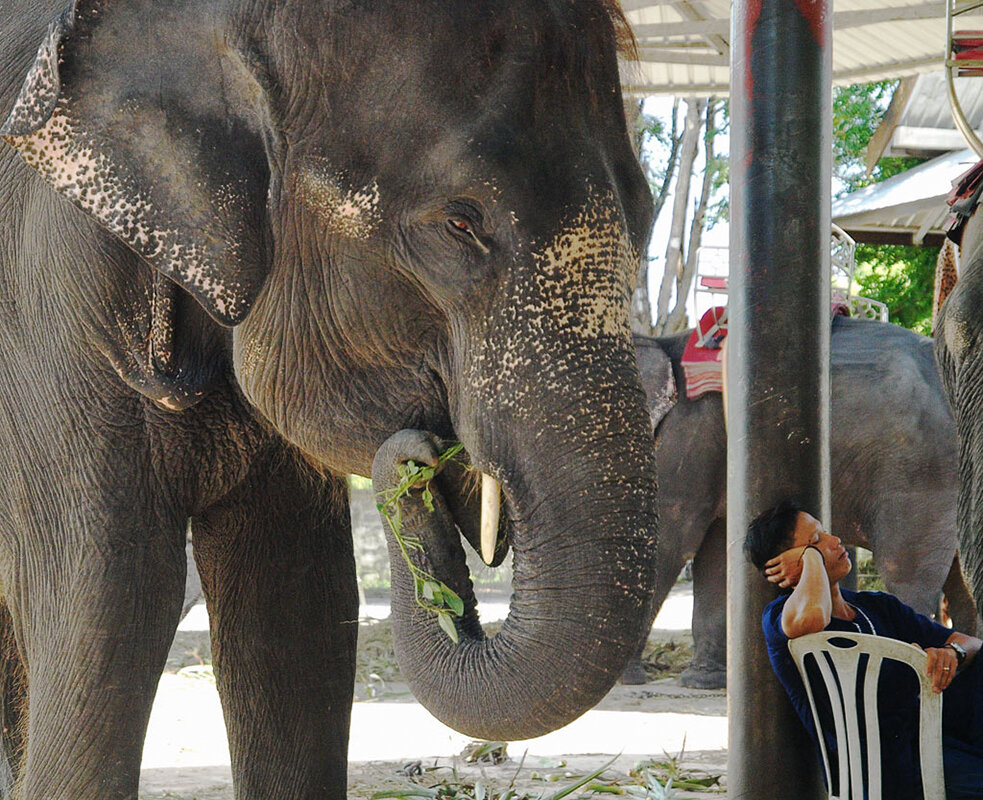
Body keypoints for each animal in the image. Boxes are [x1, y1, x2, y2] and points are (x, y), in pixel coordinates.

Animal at [0, 3, 660, 796]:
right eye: (460, 223)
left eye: (646, 213)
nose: (415, 456)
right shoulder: (50, 302)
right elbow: (105, 598)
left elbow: (296, 612)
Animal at [632, 316, 968, 692]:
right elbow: (716, 553)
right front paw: (702, 682)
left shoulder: (685, 440)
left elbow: (672, 540)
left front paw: (627, 679)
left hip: (921, 471)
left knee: (907, 573)